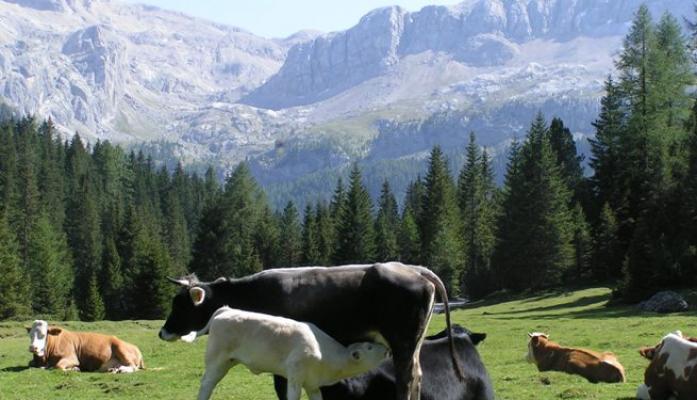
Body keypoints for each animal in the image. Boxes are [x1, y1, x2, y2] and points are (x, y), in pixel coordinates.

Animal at [196, 304, 388, 400]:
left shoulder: (313, 384)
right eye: (369, 347)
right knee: (206, 384)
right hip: (216, 360)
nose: (386, 349)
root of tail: (227, 310)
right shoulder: (295, 374)